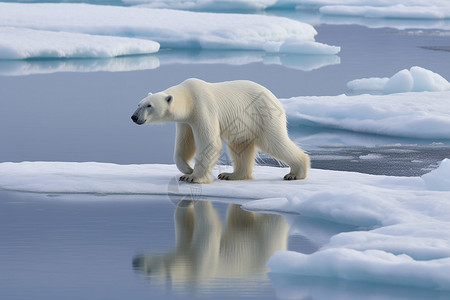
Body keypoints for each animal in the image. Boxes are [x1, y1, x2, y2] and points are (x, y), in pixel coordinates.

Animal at [130, 77, 310, 184]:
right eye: (139, 104)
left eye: (149, 105)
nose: (134, 117)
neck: (188, 97)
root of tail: (275, 98)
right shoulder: (186, 121)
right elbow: (184, 145)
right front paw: (187, 169)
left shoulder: (202, 108)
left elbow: (209, 143)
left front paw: (193, 177)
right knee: (240, 146)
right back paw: (232, 175)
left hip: (262, 116)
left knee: (274, 142)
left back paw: (295, 173)